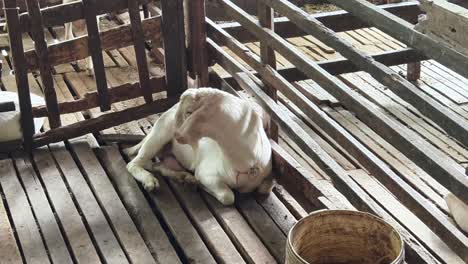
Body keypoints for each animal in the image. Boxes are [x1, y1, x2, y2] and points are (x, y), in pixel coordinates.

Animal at [126, 87, 276, 205]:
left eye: (189, 111)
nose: (177, 134)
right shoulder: (206, 173)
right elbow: (228, 197)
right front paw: (200, 184)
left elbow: (264, 189)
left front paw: (192, 181)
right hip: (158, 135)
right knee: (134, 163)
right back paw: (151, 182)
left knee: (154, 165)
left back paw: (184, 178)